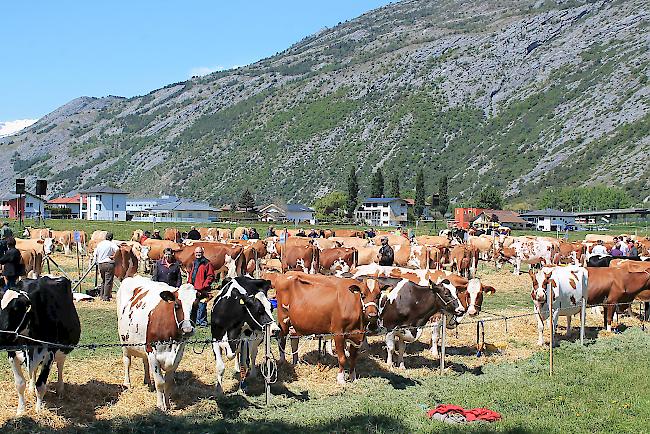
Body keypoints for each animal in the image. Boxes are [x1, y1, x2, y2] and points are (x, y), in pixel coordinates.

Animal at [0, 276, 80, 416]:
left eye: (16, 309)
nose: (1, 336)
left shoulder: (49, 354)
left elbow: (41, 386)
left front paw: (38, 410)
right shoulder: (12, 353)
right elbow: (20, 384)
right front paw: (21, 410)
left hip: (63, 349)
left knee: (60, 365)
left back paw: (60, 389)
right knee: (34, 370)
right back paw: (31, 387)